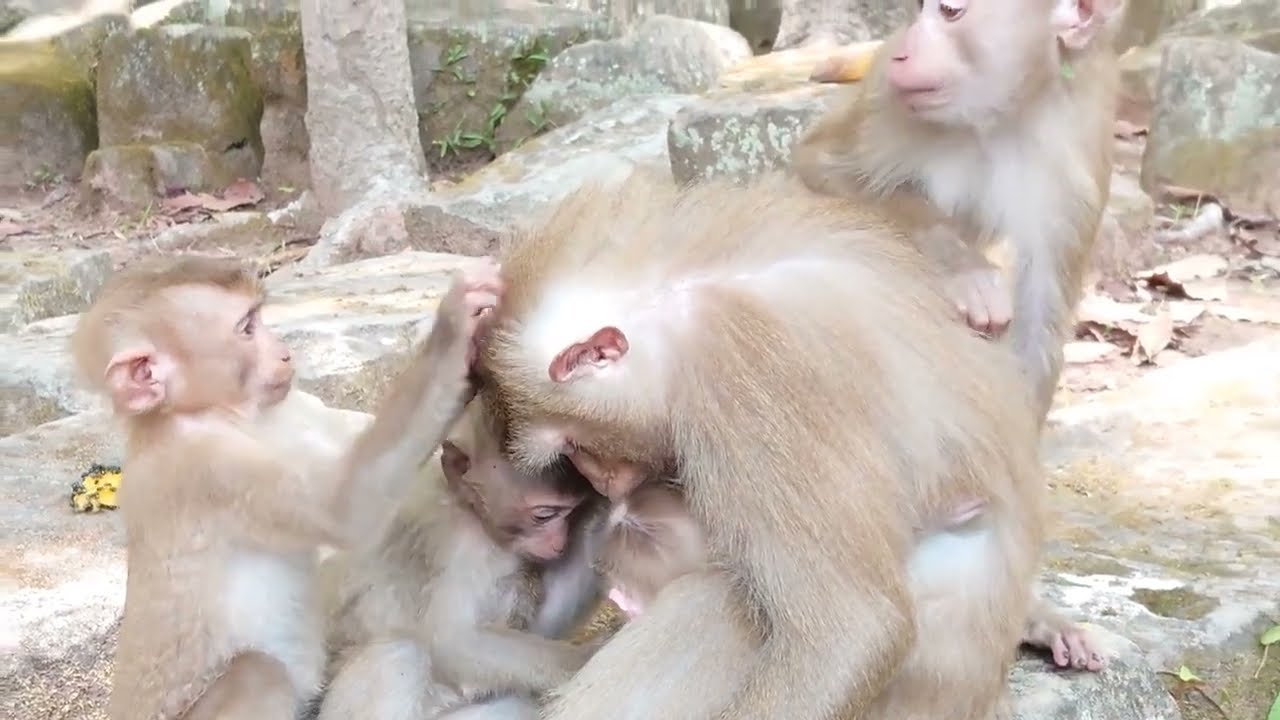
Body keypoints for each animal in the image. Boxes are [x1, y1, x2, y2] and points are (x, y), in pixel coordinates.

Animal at [69, 254, 501, 720]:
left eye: (259, 319)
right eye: (246, 328)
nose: (284, 353)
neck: (217, 414)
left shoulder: (293, 408)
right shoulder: (205, 468)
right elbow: (342, 507)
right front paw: (452, 329)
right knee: (261, 673)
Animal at [315, 400, 602, 720]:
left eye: (571, 512)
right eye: (544, 515)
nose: (558, 542)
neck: (473, 511)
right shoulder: (460, 544)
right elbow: (453, 639)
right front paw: (586, 657)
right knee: (399, 655)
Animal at [471, 169, 1046, 720]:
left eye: (573, 443)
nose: (598, 479)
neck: (683, 299)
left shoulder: (743, 365)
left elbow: (854, 629)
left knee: (718, 602)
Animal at [790, 0, 1125, 424]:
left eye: (951, 11)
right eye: (920, 9)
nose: (902, 52)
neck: (1004, 115)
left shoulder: (1079, 149)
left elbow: (1040, 315)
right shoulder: (885, 99)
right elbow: (819, 165)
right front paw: (965, 269)